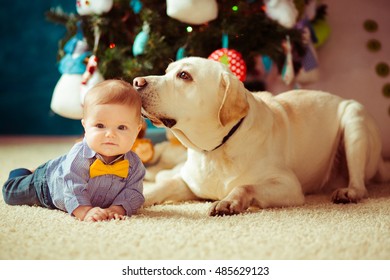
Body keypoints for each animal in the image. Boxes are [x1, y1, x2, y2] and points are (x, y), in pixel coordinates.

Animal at [133, 55, 388, 215]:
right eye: (167, 72)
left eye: (184, 75)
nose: (136, 81)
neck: (216, 149)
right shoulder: (188, 183)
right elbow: (162, 186)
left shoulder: (289, 186)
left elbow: (247, 186)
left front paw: (229, 201)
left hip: (354, 120)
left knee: (360, 185)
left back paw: (348, 192)